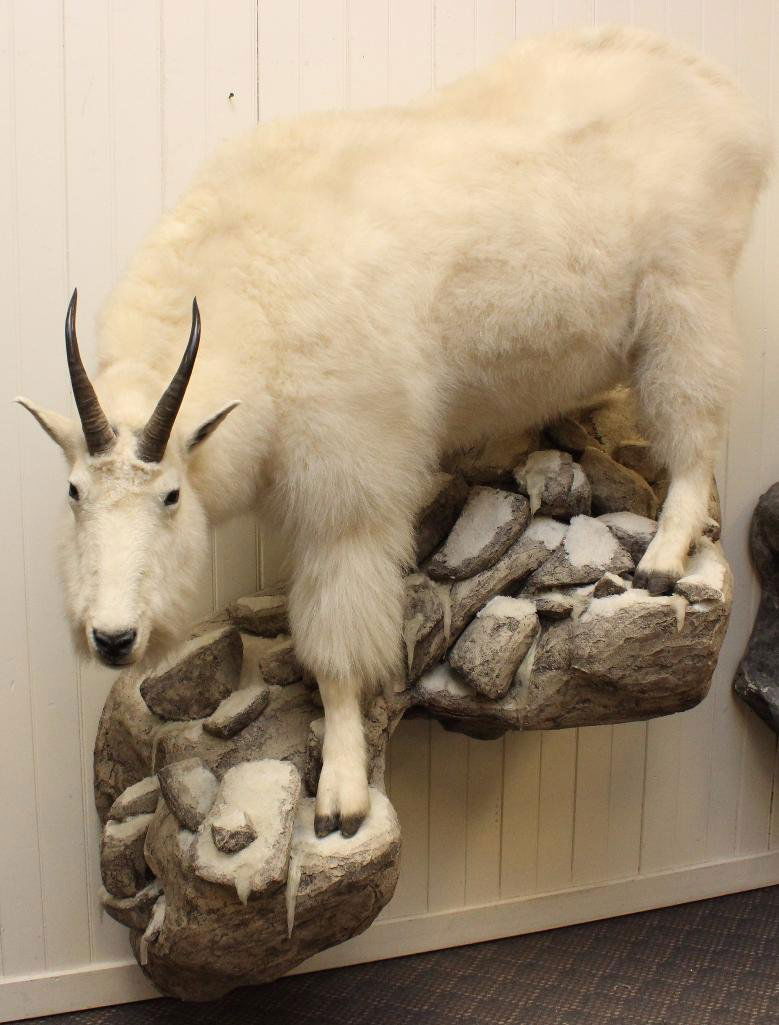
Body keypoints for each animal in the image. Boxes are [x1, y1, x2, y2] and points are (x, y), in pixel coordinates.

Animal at [17, 26, 771, 837]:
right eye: (74, 492)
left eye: (170, 497)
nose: (112, 638)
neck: (255, 290)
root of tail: (723, 97)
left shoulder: (348, 486)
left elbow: (339, 647)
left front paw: (342, 794)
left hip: (685, 299)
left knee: (695, 431)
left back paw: (663, 555)